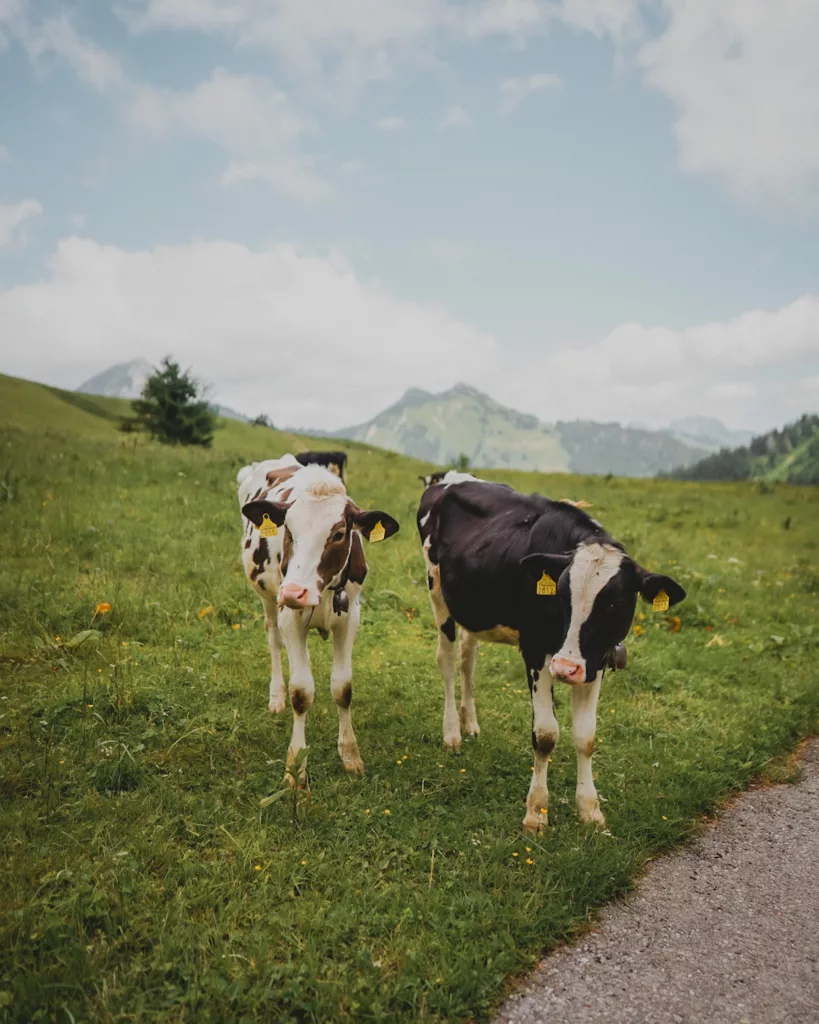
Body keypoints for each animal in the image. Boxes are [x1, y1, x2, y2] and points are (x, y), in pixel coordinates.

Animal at [236, 456, 399, 774]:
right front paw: (296, 767)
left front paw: (349, 753)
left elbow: (342, 687)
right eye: (288, 530)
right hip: (268, 598)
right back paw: (276, 696)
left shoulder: (350, 617)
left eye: (338, 534)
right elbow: (301, 693)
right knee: (274, 639)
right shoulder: (289, 615)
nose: (294, 592)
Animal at [415, 477, 683, 831]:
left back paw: (469, 722)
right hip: (437, 591)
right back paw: (451, 734)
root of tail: (445, 479)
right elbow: (545, 735)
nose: (566, 668)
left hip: (472, 608)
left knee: (467, 658)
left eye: (614, 603)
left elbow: (586, 737)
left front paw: (590, 809)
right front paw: (536, 812)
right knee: (446, 661)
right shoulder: (536, 653)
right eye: (561, 594)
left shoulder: (595, 661)